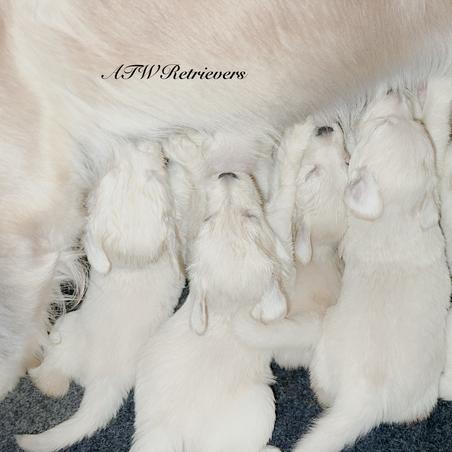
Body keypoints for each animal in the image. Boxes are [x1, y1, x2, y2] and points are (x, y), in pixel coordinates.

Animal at [15, 141, 185, 452]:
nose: (147, 143)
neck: (134, 263)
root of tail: (105, 383)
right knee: (57, 383)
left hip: (66, 326)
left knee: (52, 378)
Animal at [132, 167, 288, 452]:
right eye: (208, 218)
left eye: (249, 215)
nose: (227, 173)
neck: (226, 309)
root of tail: (173, 430)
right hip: (262, 401)